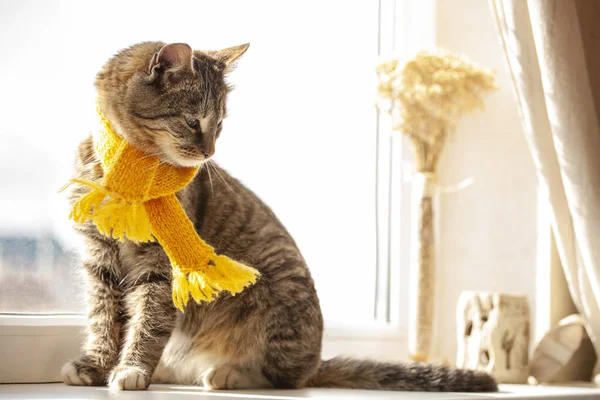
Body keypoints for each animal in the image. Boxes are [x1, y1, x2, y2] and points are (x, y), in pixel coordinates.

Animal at [62, 42, 496, 392]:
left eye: (219, 124)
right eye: (192, 121)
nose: (209, 152)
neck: (127, 175)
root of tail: (317, 361)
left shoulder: (159, 266)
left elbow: (149, 322)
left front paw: (132, 369)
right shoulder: (99, 258)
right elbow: (102, 319)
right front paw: (97, 365)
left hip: (277, 288)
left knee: (283, 376)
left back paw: (227, 373)